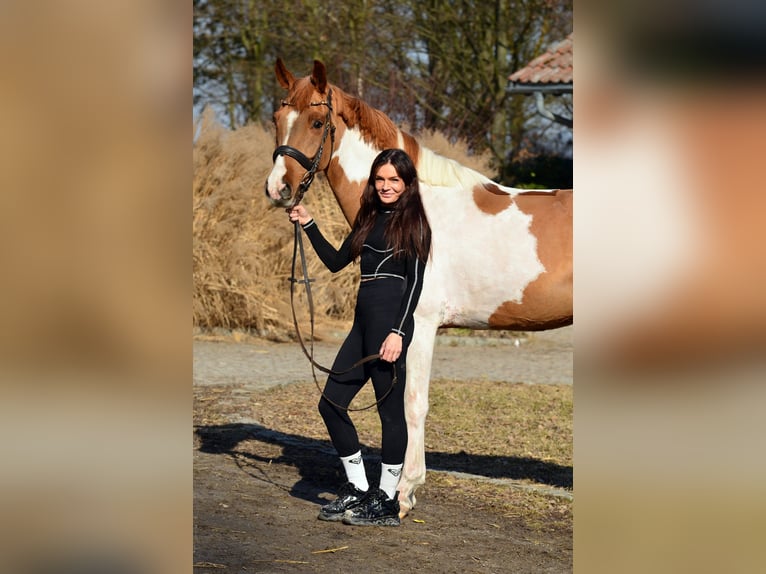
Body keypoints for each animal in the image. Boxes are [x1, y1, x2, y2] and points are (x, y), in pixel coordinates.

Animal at [264, 59, 572, 517]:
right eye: (276, 118)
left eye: (317, 122)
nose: (277, 189)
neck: (413, 207)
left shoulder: (418, 327)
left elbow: (411, 405)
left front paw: (404, 492)